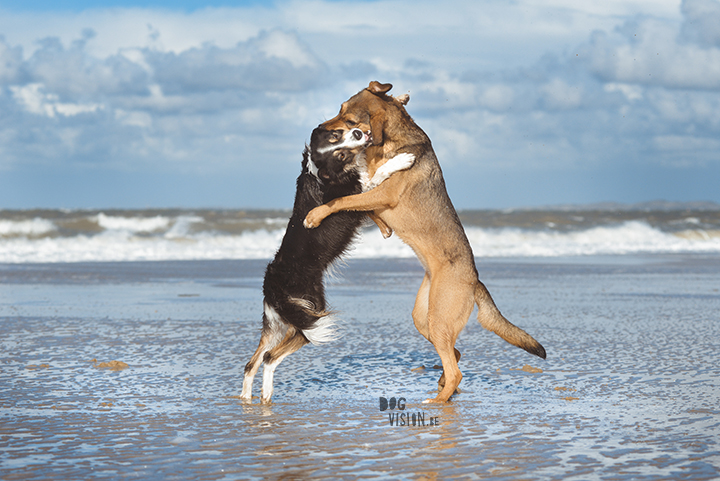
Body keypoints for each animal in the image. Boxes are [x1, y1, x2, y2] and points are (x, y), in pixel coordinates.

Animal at [240, 124, 414, 402]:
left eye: (336, 135)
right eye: (340, 155)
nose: (358, 133)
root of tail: (271, 284)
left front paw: (385, 228)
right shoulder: (359, 191)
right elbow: (378, 174)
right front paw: (403, 159)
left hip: (278, 323)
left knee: (252, 362)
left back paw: (248, 398)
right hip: (310, 315)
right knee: (269, 357)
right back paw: (266, 393)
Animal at [304, 81, 544, 402]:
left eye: (349, 119)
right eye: (340, 108)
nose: (319, 127)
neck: (390, 141)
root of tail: (475, 281)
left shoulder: (381, 192)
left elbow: (343, 200)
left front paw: (315, 215)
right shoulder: (369, 187)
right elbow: (360, 200)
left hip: (439, 319)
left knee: (455, 369)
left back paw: (438, 401)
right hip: (425, 318)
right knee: (454, 355)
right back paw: (442, 385)